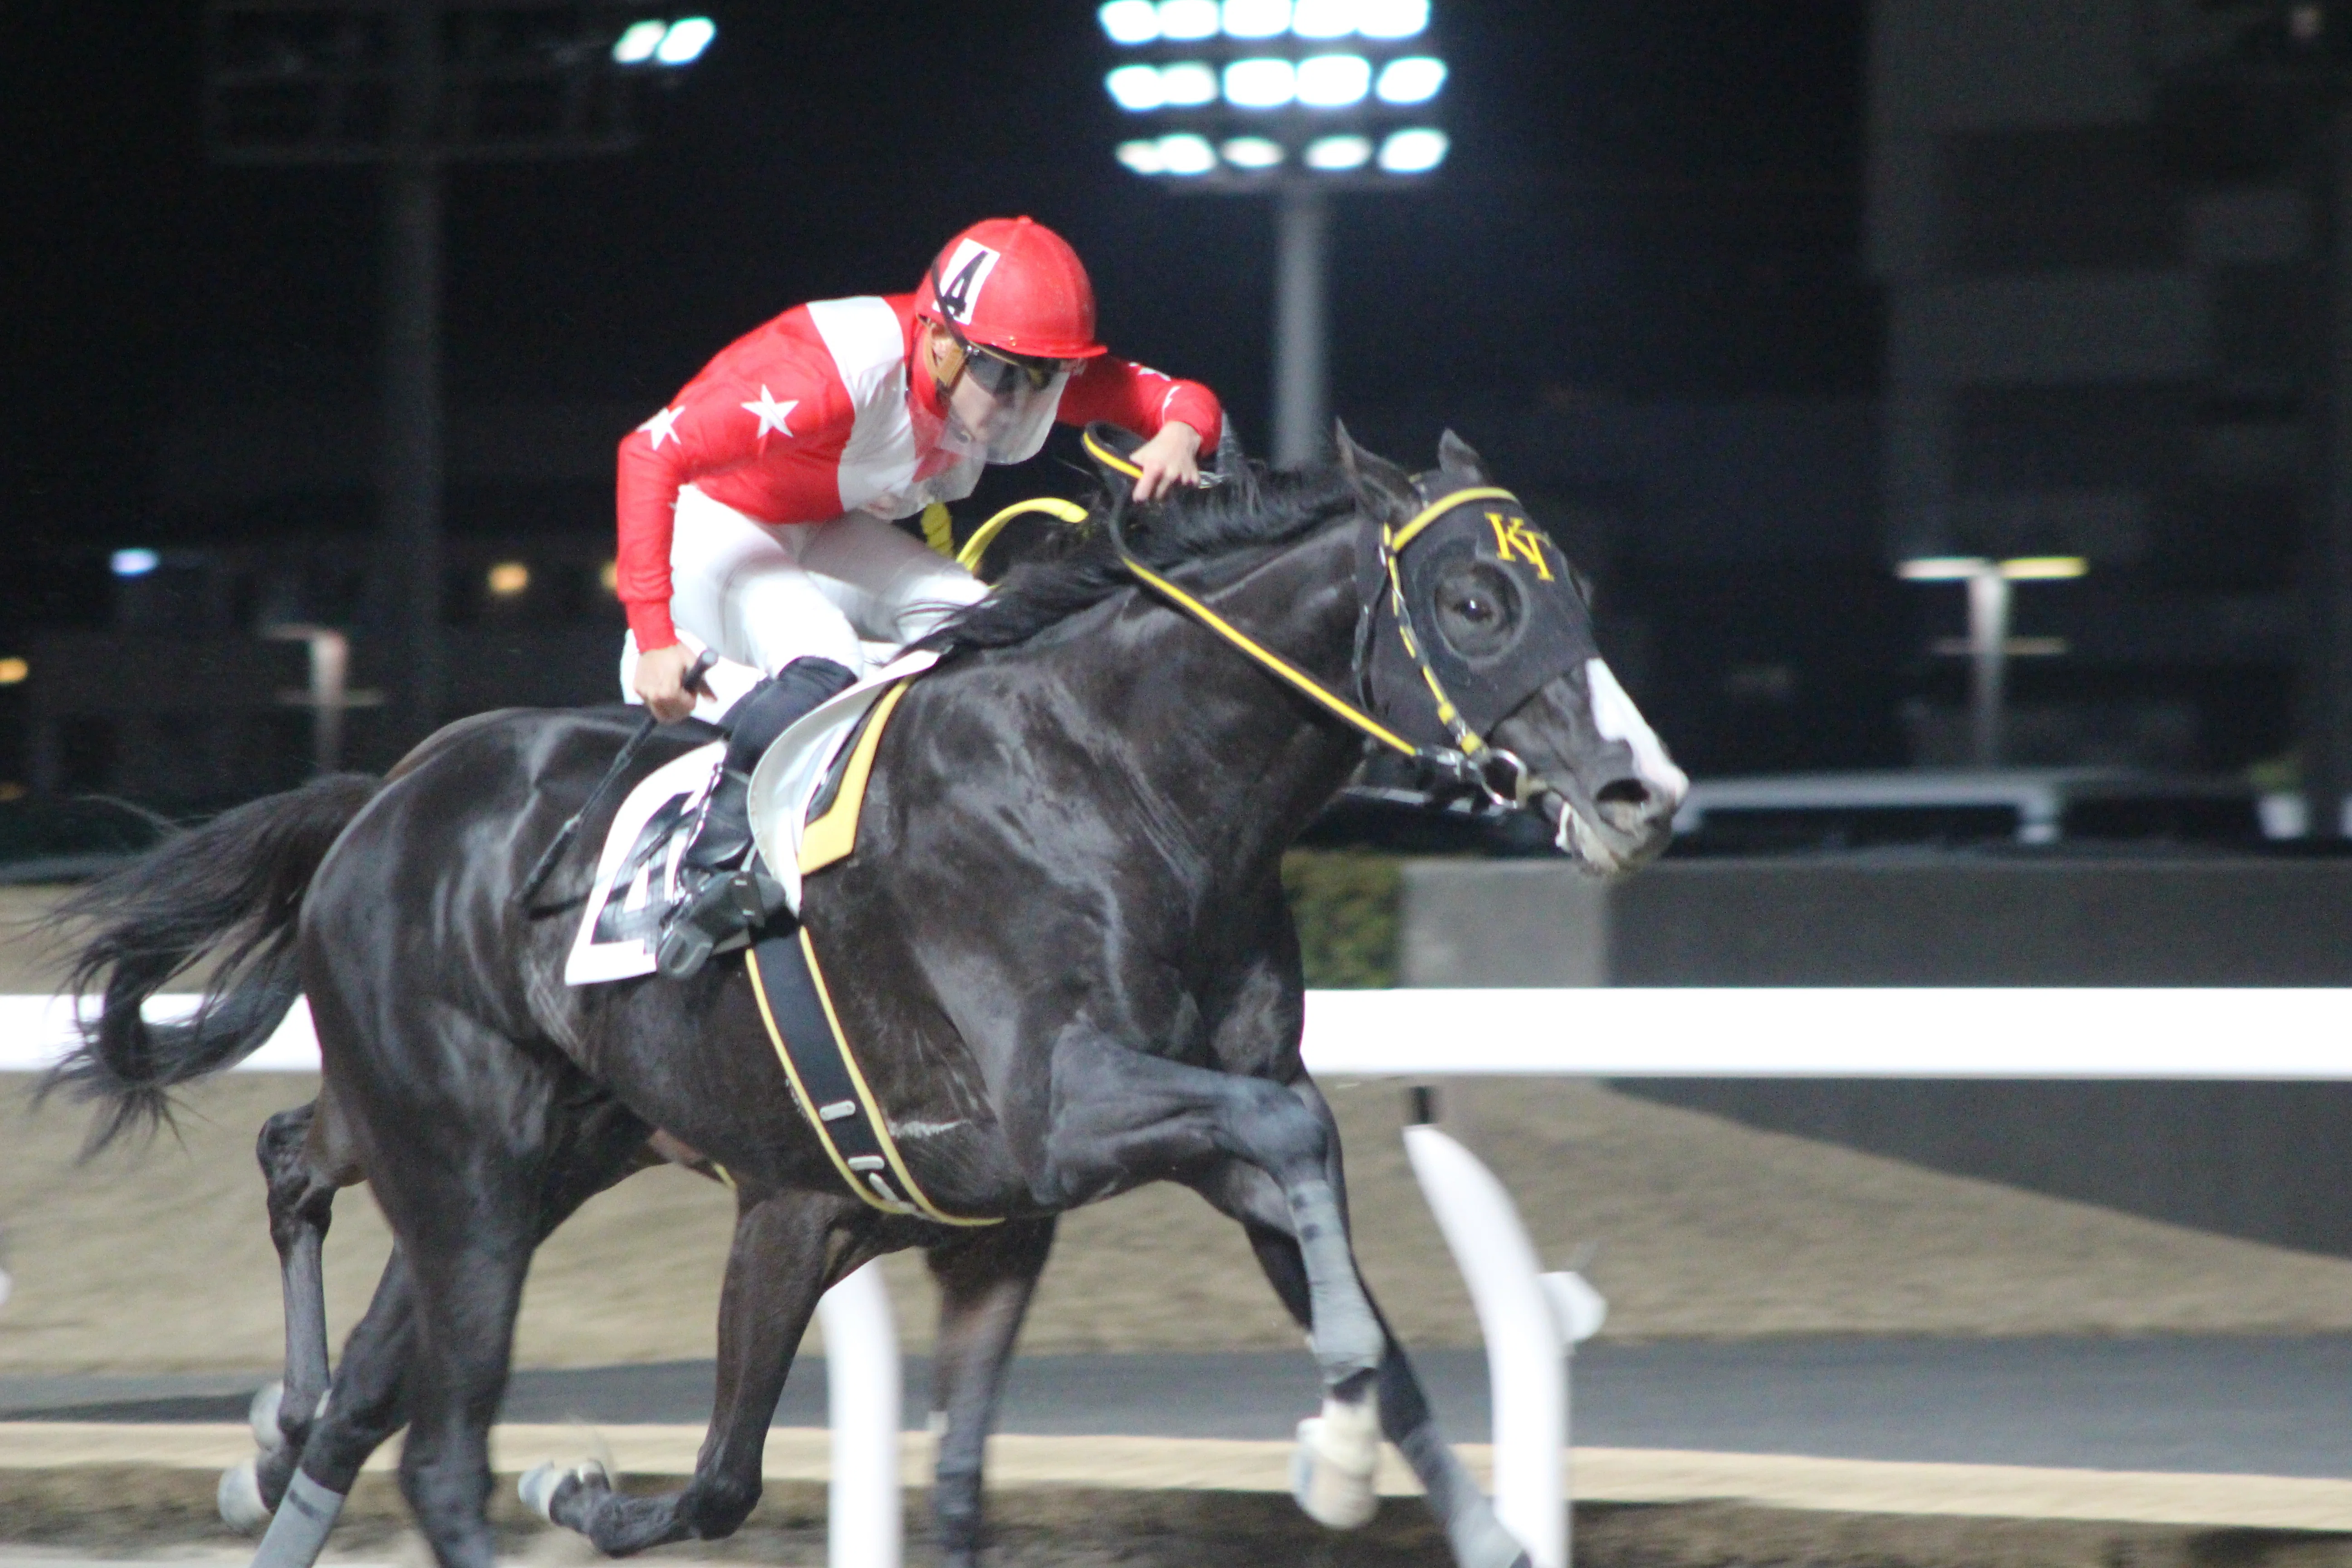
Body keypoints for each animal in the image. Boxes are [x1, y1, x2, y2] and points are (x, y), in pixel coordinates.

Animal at [51, 426, 1685, 1568]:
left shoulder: (982, 1210)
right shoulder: (1054, 1109)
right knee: (434, 1444)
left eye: (1584, 590)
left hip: (524, 1166)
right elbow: (1304, 1136)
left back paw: (277, 1436)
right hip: (466, 1169)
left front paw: (1405, 1474)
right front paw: (1333, 1437)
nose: (1643, 792)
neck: (1128, 783)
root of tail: (379, 800)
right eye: (1474, 599)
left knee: (345, 1343)